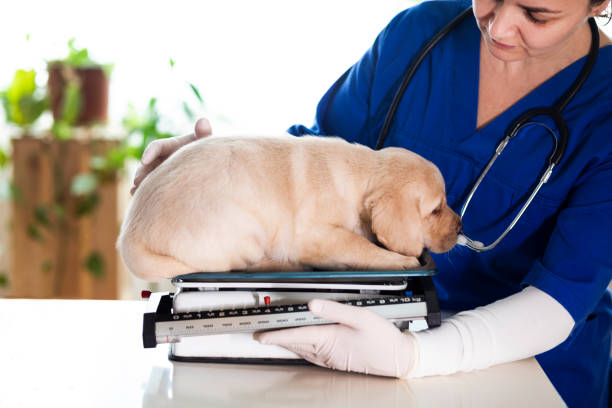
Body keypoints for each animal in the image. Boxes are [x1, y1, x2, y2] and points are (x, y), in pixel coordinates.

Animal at [117, 135, 462, 280]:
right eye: (435, 210)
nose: (460, 227)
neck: (361, 175)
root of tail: (129, 237)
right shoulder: (316, 237)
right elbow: (359, 246)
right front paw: (401, 261)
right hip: (245, 226)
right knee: (238, 266)